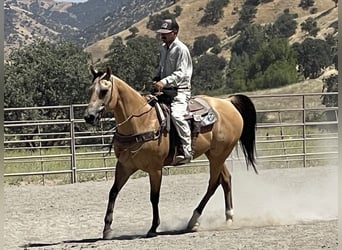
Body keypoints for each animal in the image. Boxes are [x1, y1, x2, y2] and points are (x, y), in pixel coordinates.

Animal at [84, 66, 258, 238]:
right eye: (90, 89)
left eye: (104, 91)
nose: (89, 117)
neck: (140, 121)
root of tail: (228, 102)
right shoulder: (124, 166)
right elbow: (113, 192)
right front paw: (107, 229)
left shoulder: (155, 169)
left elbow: (154, 197)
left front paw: (154, 227)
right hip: (215, 154)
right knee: (225, 179)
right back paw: (228, 217)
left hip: (219, 155)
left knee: (213, 184)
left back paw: (193, 220)